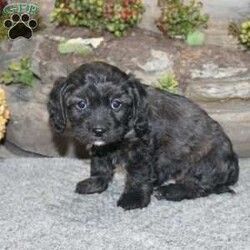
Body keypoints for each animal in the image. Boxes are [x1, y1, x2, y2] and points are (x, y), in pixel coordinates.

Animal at [47, 61, 239, 210]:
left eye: (116, 104)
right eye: (81, 104)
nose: (99, 130)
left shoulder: (140, 152)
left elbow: (137, 176)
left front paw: (134, 198)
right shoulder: (101, 148)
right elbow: (100, 165)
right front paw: (96, 183)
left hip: (205, 163)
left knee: (199, 186)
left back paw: (170, 191)